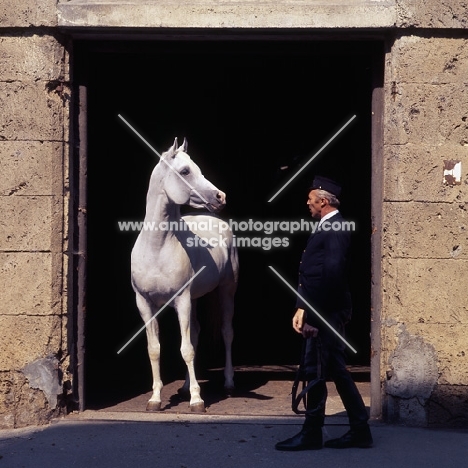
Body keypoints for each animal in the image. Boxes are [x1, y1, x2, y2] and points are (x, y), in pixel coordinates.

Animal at [131, 136, 238, 414]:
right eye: (185, 171)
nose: (221, 196)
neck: (157, 247)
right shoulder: (144, 303)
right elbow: (155, 349)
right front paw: (155, 399)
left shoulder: (182, 300)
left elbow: (186, 349)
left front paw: (197, 401)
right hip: (196, 299)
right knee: (197, 333)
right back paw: (184, 386)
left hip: (226, 290)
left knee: (226, 332)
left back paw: (229, 382)